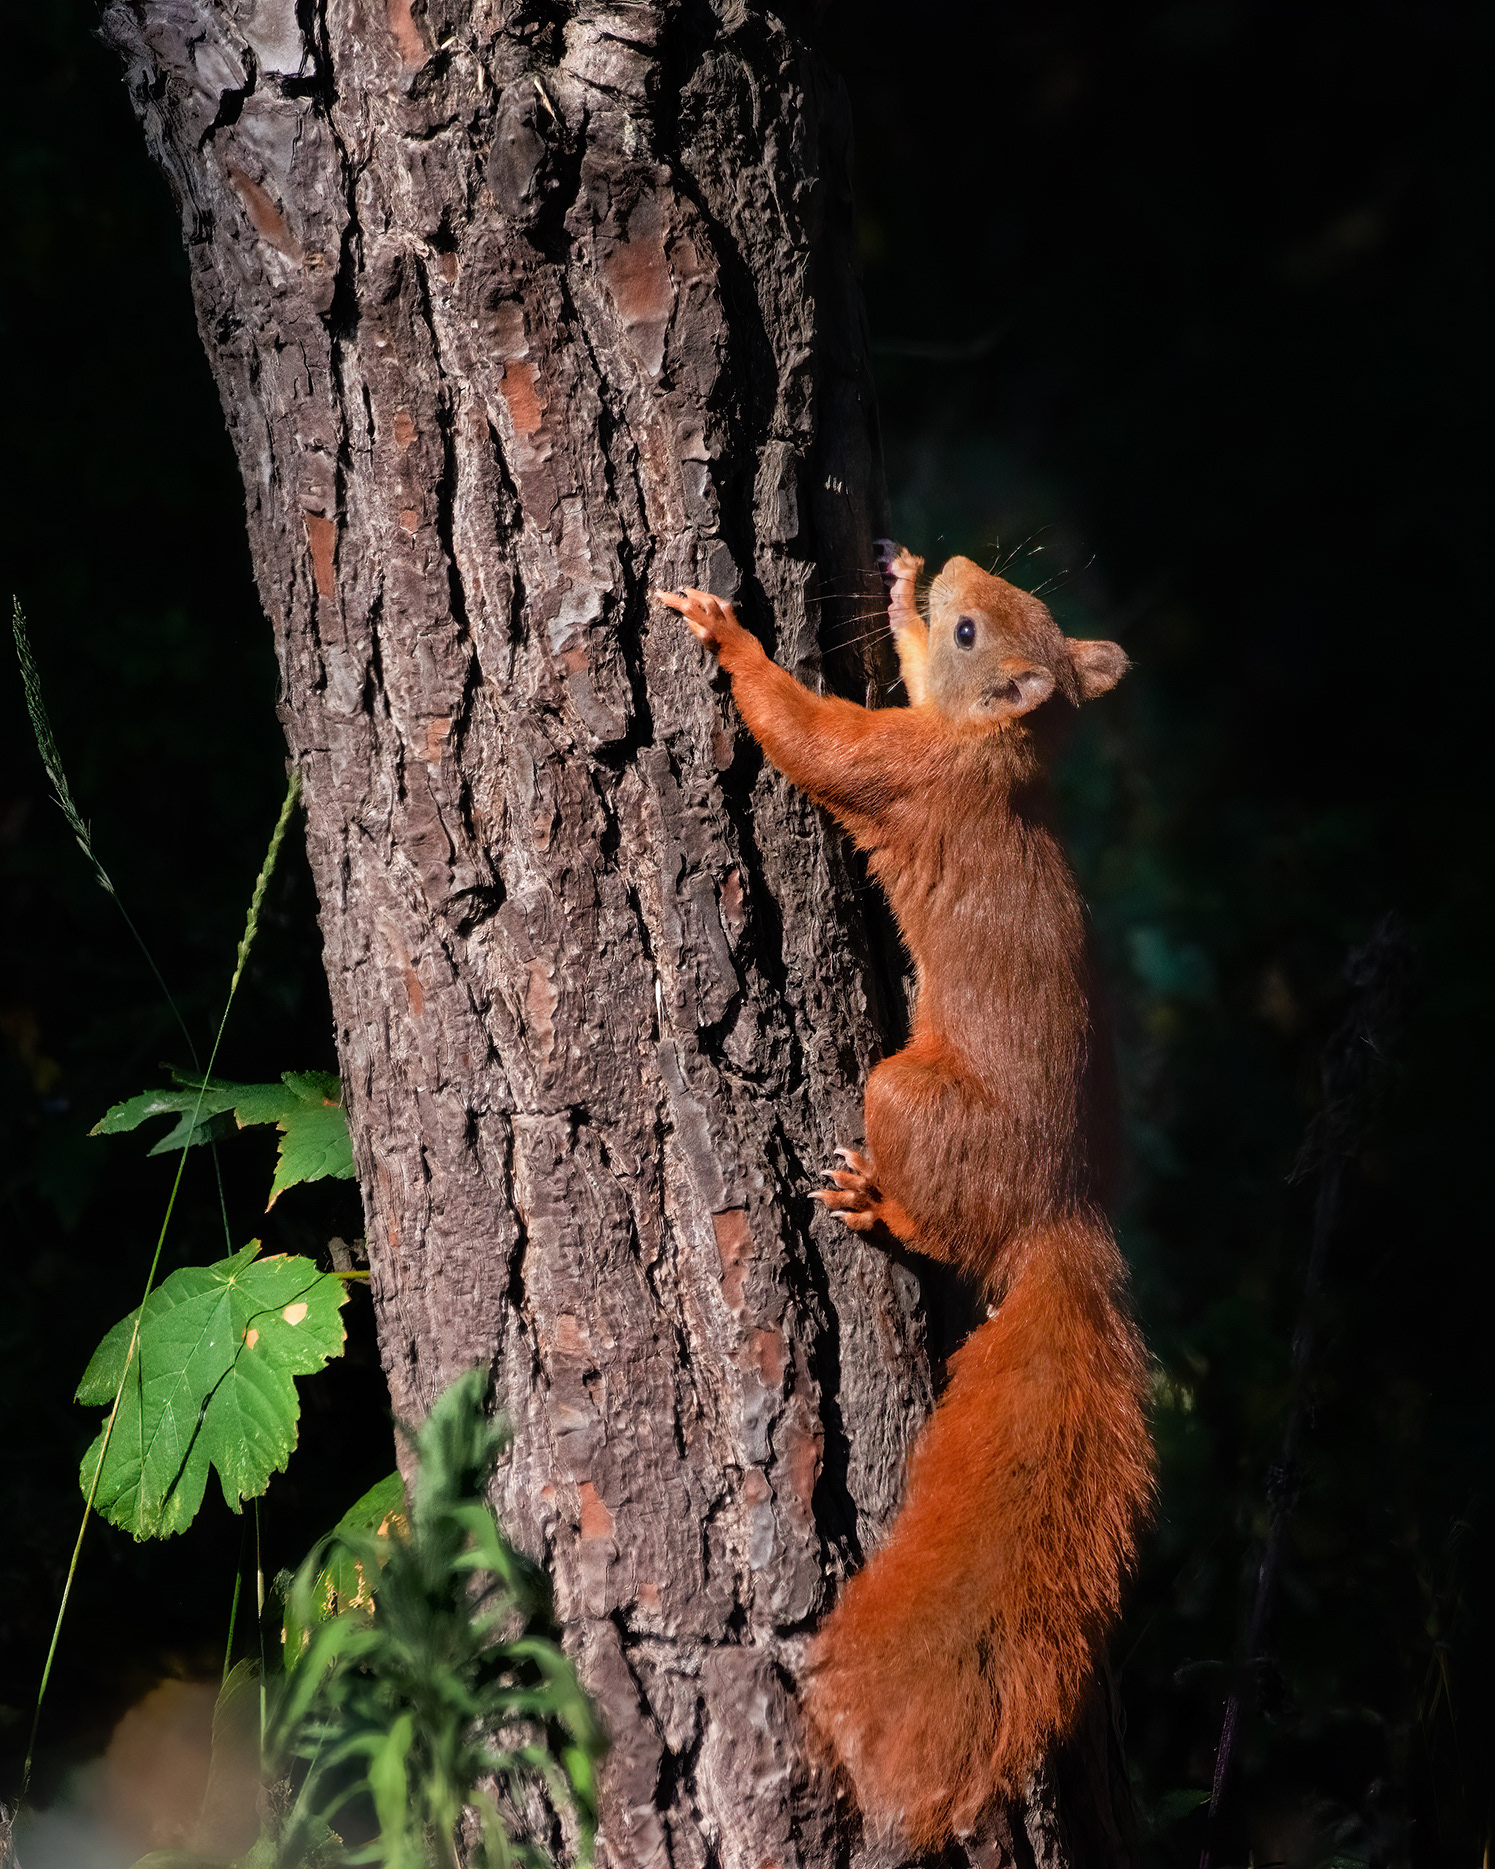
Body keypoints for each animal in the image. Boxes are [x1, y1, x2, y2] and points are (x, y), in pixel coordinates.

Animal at [656, 544, 1154, 1848]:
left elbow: (811, 740)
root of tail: (1059, 1217)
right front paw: (891, 585)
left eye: (977, 631)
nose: (953, 563)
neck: (996, 760)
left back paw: (878, 1209)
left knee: (936, 1219)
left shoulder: (900, 772)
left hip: (903, 1096)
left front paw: (726, 637)